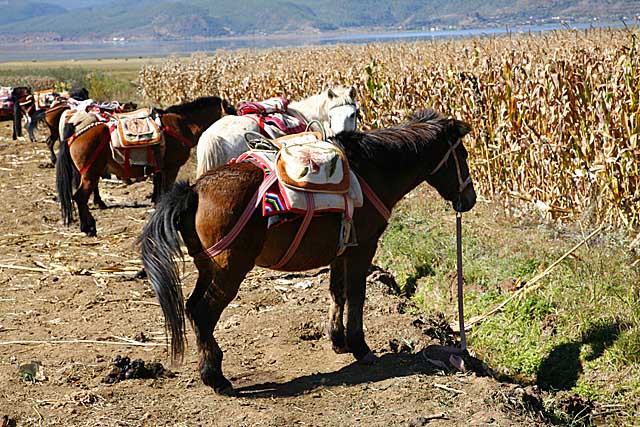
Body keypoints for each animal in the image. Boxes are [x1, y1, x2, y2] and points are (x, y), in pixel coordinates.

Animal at [57, 96, 235, 236]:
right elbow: (166, 191)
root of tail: (75, 134)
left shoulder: (160, 170)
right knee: (80, 197)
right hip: (90, 174)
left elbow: (159, 193)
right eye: (232, 111)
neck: (183, 125)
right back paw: (88, 228)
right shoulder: (171, 169)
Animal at [139, 108, 476, 396]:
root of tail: (194, 190)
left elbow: (337, 293)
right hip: (229, 271)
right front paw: (360, 347)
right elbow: (357, 296)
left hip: (208, 267)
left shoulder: (342, 250)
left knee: (193, 308)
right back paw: (216, 378)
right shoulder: (363, 249)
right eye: (462, 154)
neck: (373, 171)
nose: (470, 199)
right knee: (203, 312)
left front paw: (338, 341)